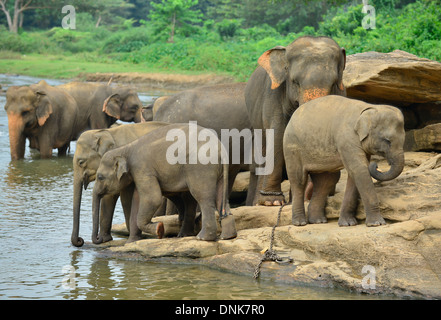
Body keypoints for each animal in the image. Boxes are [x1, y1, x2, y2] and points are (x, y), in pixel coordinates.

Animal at [90, 122, 237, 242]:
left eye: (100, 177)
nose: (98, 239)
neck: (125, 149)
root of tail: (221, 149)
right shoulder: (140, 174)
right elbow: (138, 200)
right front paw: (132, 242)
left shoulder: (142, 169)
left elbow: (152, 199)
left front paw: (159, 229)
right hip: (219, 172)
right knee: (221, 198)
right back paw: (227, 236)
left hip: (201, 168)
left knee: (203, 198)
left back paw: (203, 238)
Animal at [244, 37, 344, 208]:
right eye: (295, 82)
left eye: (333, 83)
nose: (309, 195)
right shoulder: (273, 96)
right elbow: (277, 136)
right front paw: (272, 202)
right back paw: (259, 203)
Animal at [284, 95, 404, 228]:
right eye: (387, 140)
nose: (376, 165)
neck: (370, 107)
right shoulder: (347, 138)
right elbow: (359, 169)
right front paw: (376, 224)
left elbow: (355, 173)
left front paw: (348, 224)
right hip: (292, 148)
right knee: (299, 179)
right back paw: (300, 223)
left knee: (326, 181)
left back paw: (318, 221)